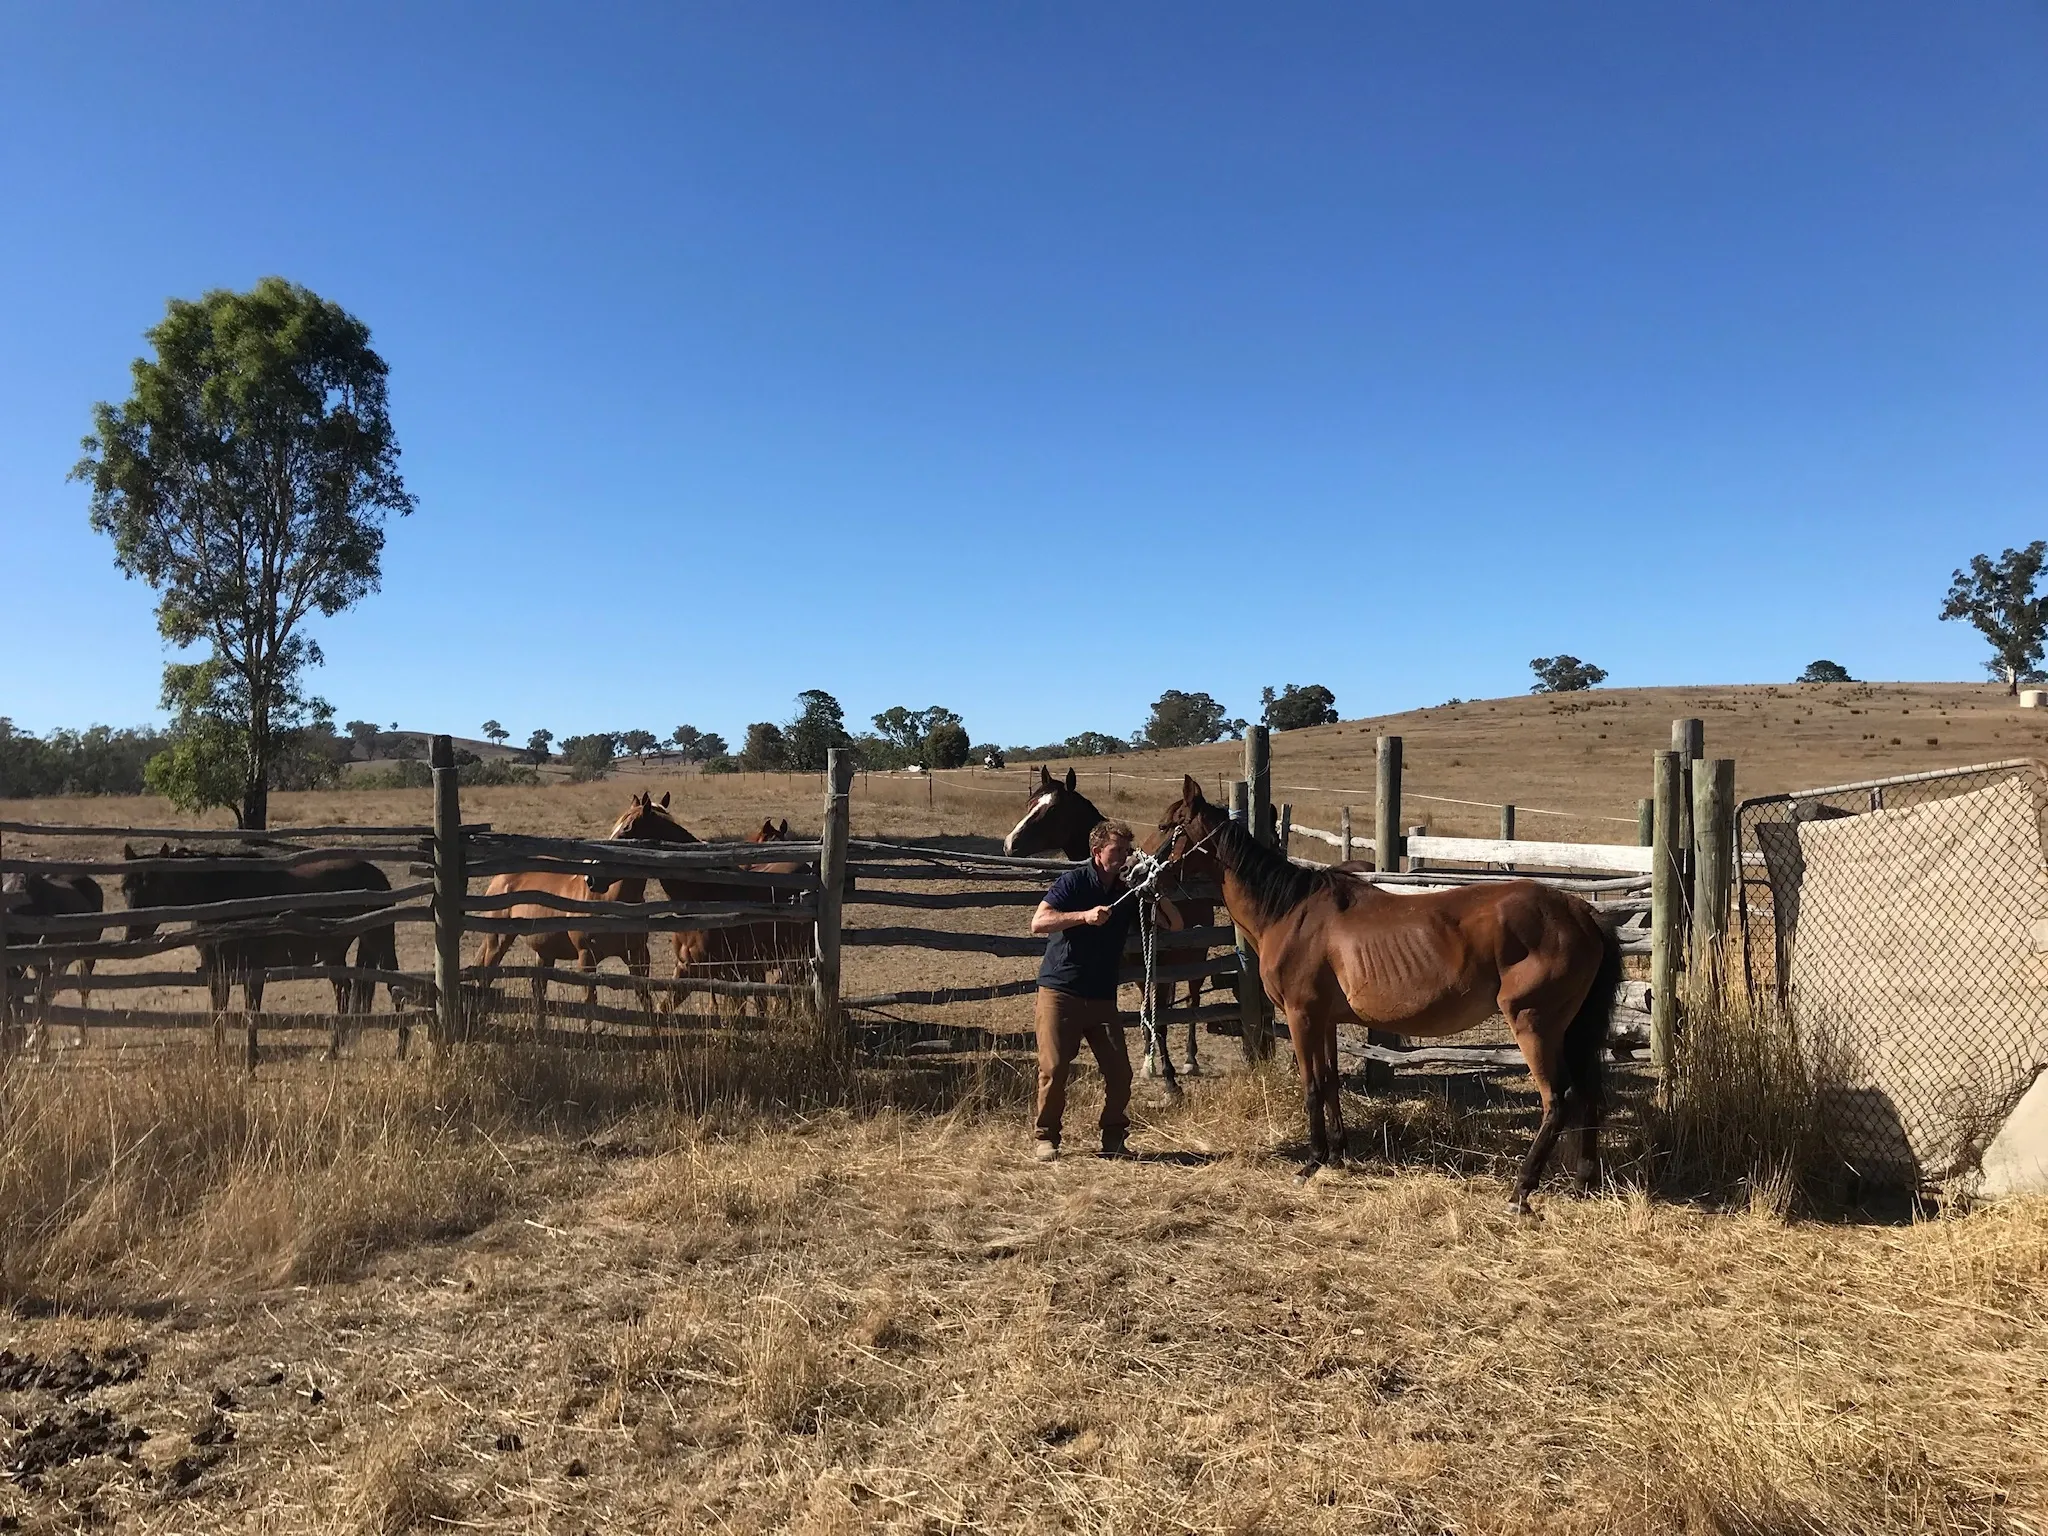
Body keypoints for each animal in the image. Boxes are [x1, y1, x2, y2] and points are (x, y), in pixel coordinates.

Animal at [1, 872, 104, 1048]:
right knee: (54, 991)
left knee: (83, 989)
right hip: (61, 961)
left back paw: (83, 1037)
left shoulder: (40, 960)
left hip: (87, 955)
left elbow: (38, 997)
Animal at [120, 845, 401, 1055]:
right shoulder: (217, 972)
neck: (223, 897)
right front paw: (218, 1055)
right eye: (125, 888)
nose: (132, 935)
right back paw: (332, 1051)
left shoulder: (252, 971)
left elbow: (251, 1015)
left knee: (395, 990)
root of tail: (378, 876)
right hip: (334, 954)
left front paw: (251, 1058)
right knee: (345, 996)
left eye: (153, 886)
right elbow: (218, 1016)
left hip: (380, 943)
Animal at [470, 791, 677, 1029]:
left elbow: (645, 999)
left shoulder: (638, 955)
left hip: (544, 951)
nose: (591, 878)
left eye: (627, 829)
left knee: (538, 988)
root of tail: (500, 878)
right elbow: (590, 1002)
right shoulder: (587, 957)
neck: (611, 900)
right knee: (487, 979)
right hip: (499, 940)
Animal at [1158, 775, 1622, 1207]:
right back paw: (1582, 1180)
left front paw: (1311, 1161)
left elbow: (1311, 1085)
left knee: (1558, 1100)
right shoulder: (1325, 1019)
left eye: (1167, 826)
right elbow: (1329, 1081)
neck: (1290, 913)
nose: (1141, 873)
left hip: (1533, 1024)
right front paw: (1337, 1154)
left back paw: (1521, 1188)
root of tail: (1581, 911)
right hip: (1570, 1030)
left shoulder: (1301, 1015)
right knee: (1587, 1095)